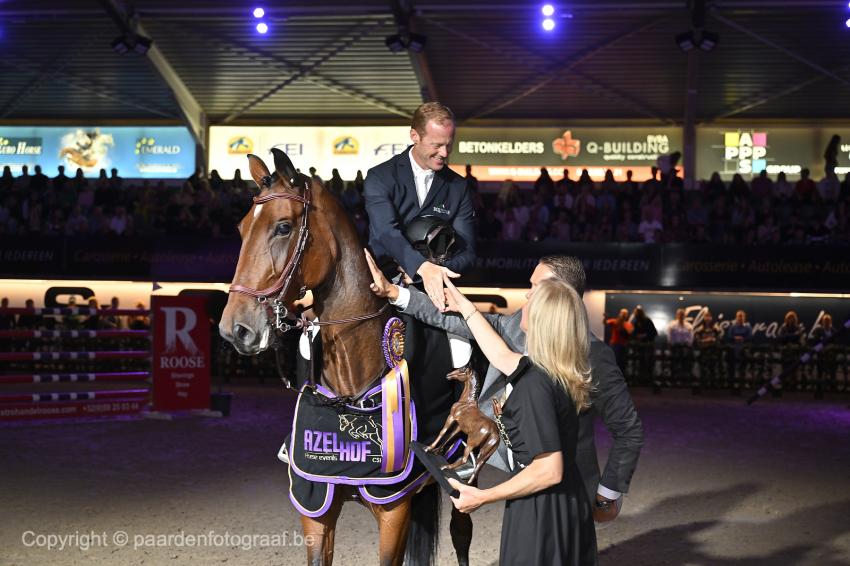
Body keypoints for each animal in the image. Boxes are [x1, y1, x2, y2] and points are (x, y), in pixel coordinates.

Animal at [218, 149, 474, 566]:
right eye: (241, 228)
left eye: (283, 227)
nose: (234, 329)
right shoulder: (314, 503)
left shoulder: (393, 510)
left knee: (461, 532)